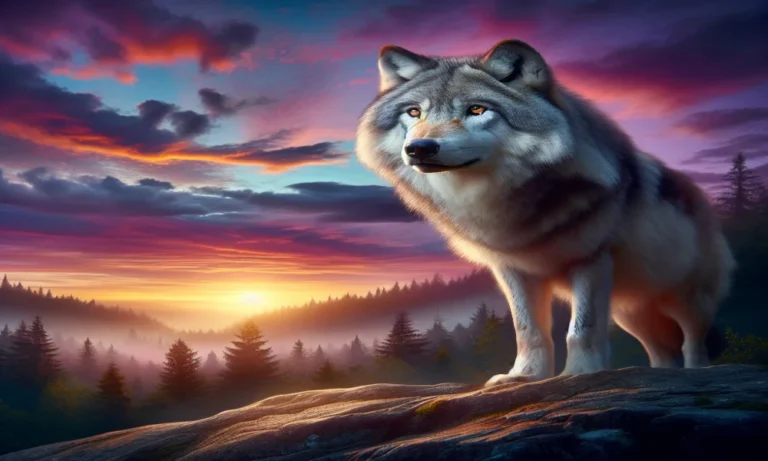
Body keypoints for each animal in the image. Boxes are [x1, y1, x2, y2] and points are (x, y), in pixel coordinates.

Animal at [355, 39, 736, 387]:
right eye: (414, 113)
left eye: (477, 110)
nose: (419, 148)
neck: (502, 201)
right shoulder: (513, 270)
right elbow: (528, 330)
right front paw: (524, 376)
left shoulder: (590, 260)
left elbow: (581, 329)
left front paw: (579, 374)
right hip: (631, 313)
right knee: (661, 351)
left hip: (686, 300)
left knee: (692, 342)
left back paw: (697, 374)